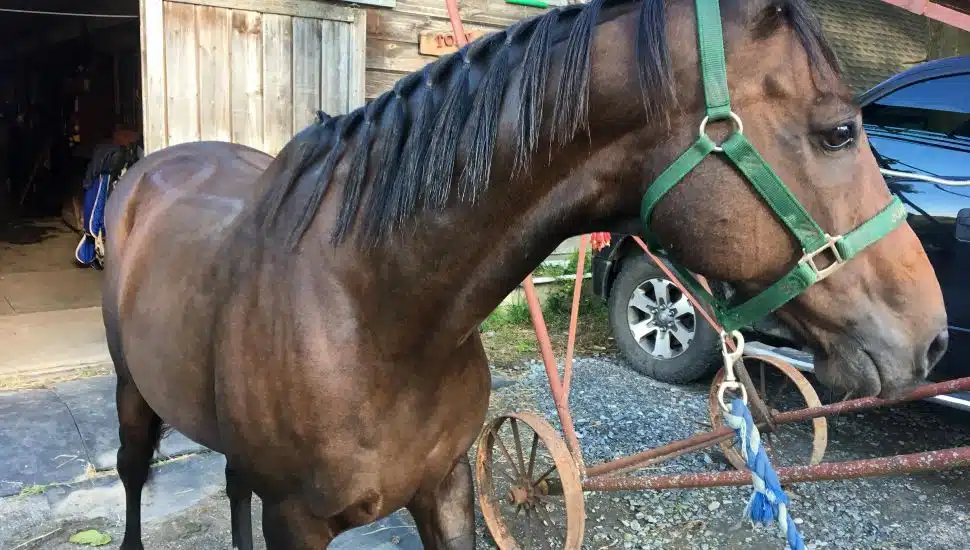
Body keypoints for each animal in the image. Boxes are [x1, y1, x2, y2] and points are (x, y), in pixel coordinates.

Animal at [102, 0, 949, 548]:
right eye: (838, 132)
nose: (933, 338)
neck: (368, 314)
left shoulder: (446, 491)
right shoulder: (298, 522)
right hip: (134, 399)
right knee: (133, 479)